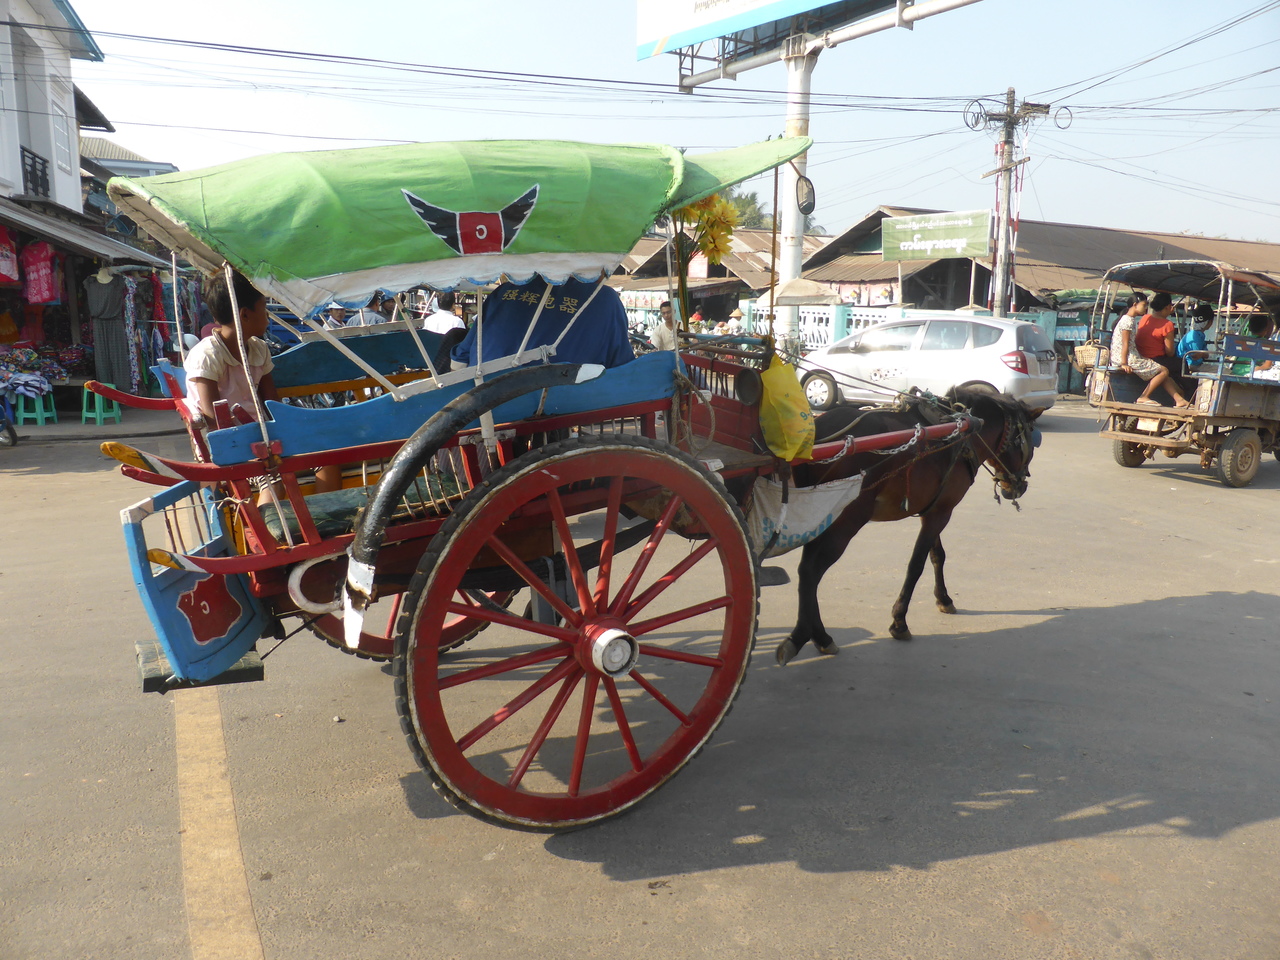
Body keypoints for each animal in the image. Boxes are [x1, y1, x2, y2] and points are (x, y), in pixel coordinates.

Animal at [774, 388, 1042, 666]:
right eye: (1029, 440)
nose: (1019, 486)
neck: (963, 431)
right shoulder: (942, 513)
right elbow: (916, 565)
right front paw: (899, 622)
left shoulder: (934, 509)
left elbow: (937, 555)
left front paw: (943, 599)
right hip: (847, 519)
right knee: (811, 571)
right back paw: (802, 637)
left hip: (820, 514)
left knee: (807, 570)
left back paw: (818, 635)